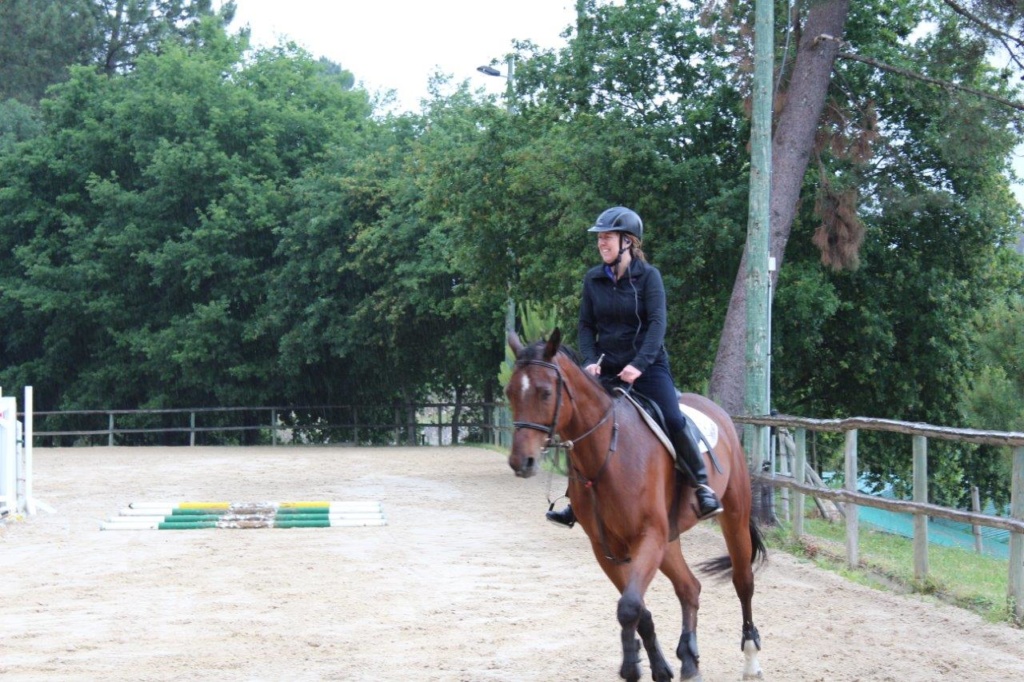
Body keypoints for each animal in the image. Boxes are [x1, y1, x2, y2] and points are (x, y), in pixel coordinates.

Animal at [507, 327, 765, 675]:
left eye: (545, 392)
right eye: (509, 392)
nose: (522, 462)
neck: (607, 452)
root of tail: (718, 413)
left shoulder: (648, 536)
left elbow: (629, 606)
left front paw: (632, 667)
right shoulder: (609, 548)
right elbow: (637, 609)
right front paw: (659, 668)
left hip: (733, 517)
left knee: (743, 582)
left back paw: (750, 660)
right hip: (668, 540)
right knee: (689, 587)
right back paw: (689, 659)